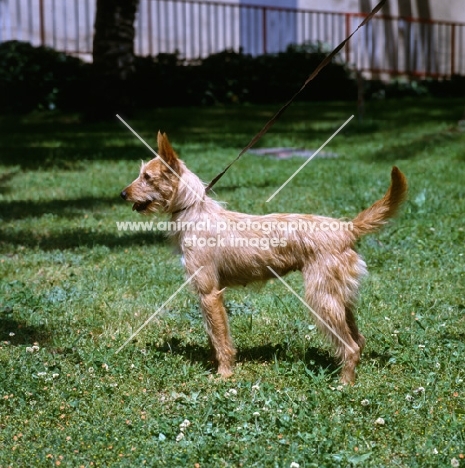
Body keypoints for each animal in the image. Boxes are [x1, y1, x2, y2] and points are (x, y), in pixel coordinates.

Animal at [120, 132, 406, 384]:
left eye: (147, 176)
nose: (122, 194)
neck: (194, 211)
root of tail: (346, 228)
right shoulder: (208, 295)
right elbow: (214, 335)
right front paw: (215, 365)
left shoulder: (209, 292)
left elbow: (220, 338)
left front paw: (224, 374)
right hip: (339, 297)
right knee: (358, 339)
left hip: (321, 298)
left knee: (350, 346)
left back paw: (344, 383)